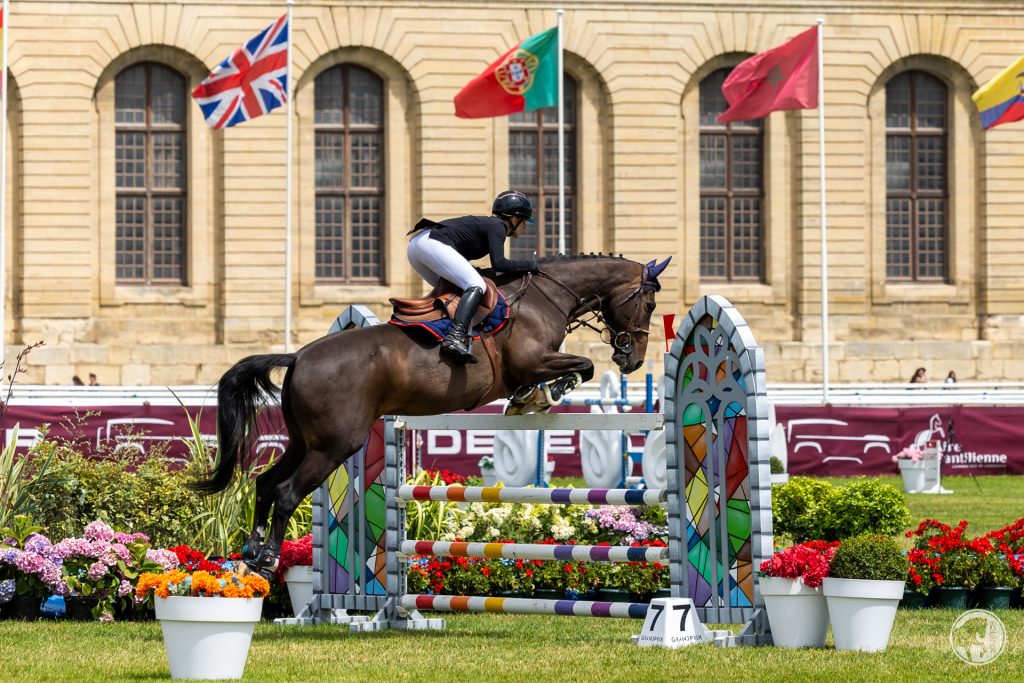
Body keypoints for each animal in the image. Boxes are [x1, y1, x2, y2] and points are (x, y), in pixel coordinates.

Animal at [192, 253, 671, 573]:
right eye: (648, 305)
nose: (632, 360)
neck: (546, 296)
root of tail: (298, 357)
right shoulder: (533, 361)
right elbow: (581, 366)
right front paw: (540, 395)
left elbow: (578, 367)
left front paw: (530, 398)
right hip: (333, 445)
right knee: (288, 492)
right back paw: (267, 560)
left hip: (304, 440)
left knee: (265, 483)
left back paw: (251, 551)